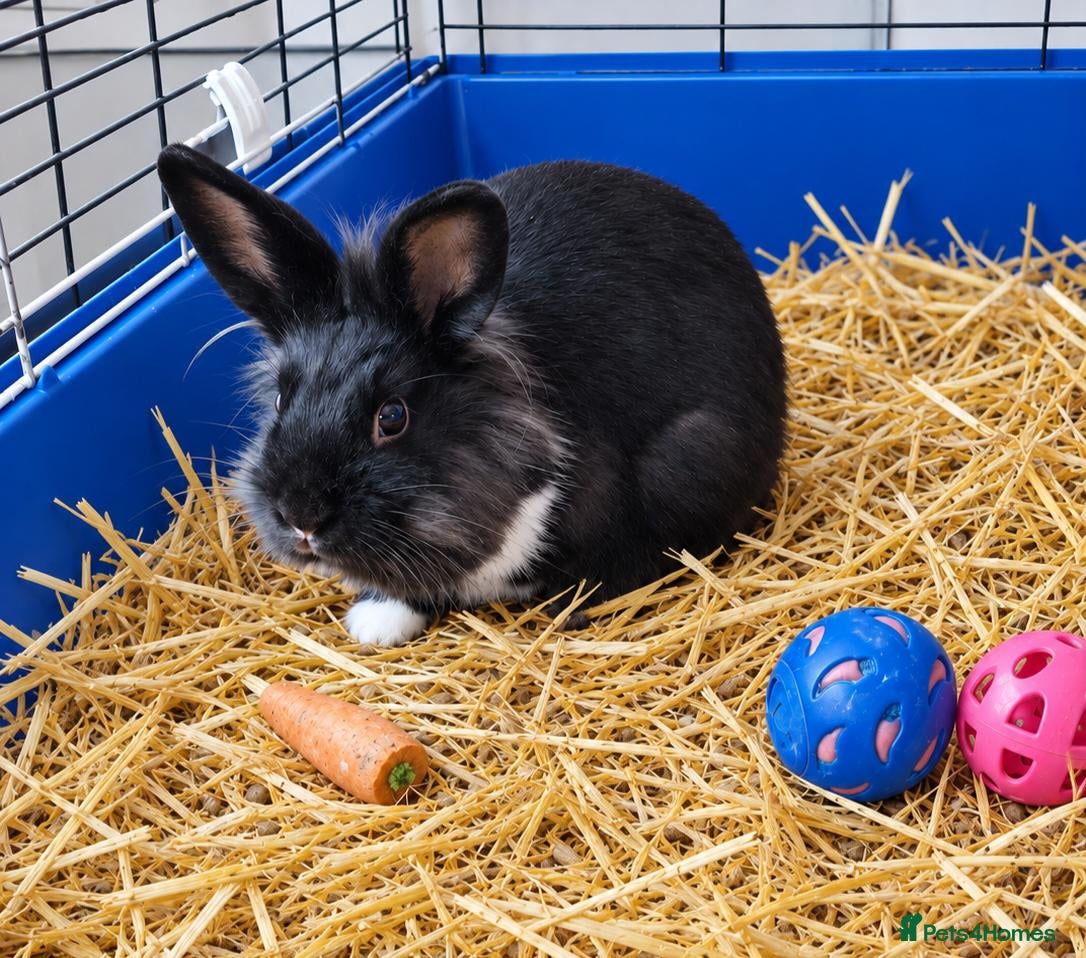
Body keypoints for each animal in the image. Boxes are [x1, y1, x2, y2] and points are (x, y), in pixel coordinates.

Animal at [157, 144, 787, 647]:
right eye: (282, 400)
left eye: (392, 416)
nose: (300, 517)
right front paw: (377, 619)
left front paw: (567, 606)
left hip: (697, 455)